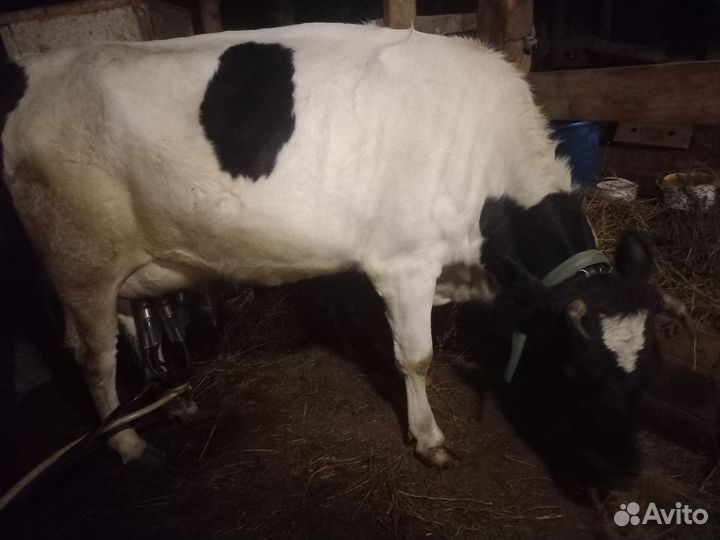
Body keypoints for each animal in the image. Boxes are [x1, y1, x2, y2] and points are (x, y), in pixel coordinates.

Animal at [1, 23, 688, 481]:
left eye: (650, 367)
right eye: (577, 369)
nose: (628, 471)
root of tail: (36, 71)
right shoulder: (404, 265)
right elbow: (416, 358)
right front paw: (429, 439)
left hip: (129, 263)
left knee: (127, 330)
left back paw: (179, 402)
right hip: (79, 258)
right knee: (92, 356)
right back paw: (127, 445)